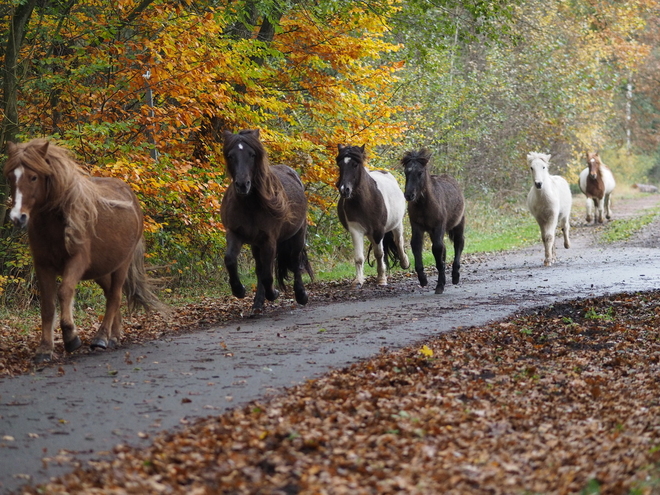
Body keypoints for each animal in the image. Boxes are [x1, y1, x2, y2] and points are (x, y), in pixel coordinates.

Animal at [4, 140, 164, 364]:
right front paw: (44, 349)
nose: (17, 217)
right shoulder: (43, 264)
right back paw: (113, 336)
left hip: (121, 265)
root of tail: (131, 198)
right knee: (110, 294)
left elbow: (64, 292)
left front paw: (71, 337)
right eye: (10, 177)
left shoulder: (77, 260)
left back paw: (101, 338)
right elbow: (47, 305)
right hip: (101, 269)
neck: (55, 222)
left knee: (115, 296)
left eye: (33, 177)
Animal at [338, 143, 410, 286]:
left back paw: (405, 263)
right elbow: (359, 257)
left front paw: (381, 279)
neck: (365, 201)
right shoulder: (356, 230)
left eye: (355, 164)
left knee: (398, 241)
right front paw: (358, 280)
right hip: (370, 233)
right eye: (339, 164)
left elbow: (379, 254)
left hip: (397, 224)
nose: (344, 190)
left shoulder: (378, 230)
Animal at [400, 149, 466, 292]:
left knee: (459, 243)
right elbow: (416, 245)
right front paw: (423, 279)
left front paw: (440, 285)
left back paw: (455, 276)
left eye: (420, 172)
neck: (424, 204)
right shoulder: (417, 226)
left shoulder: (439, 226)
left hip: (458, 224)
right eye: (406, 172)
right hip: (431, 231)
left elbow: (437, 249)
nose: (409, 195)